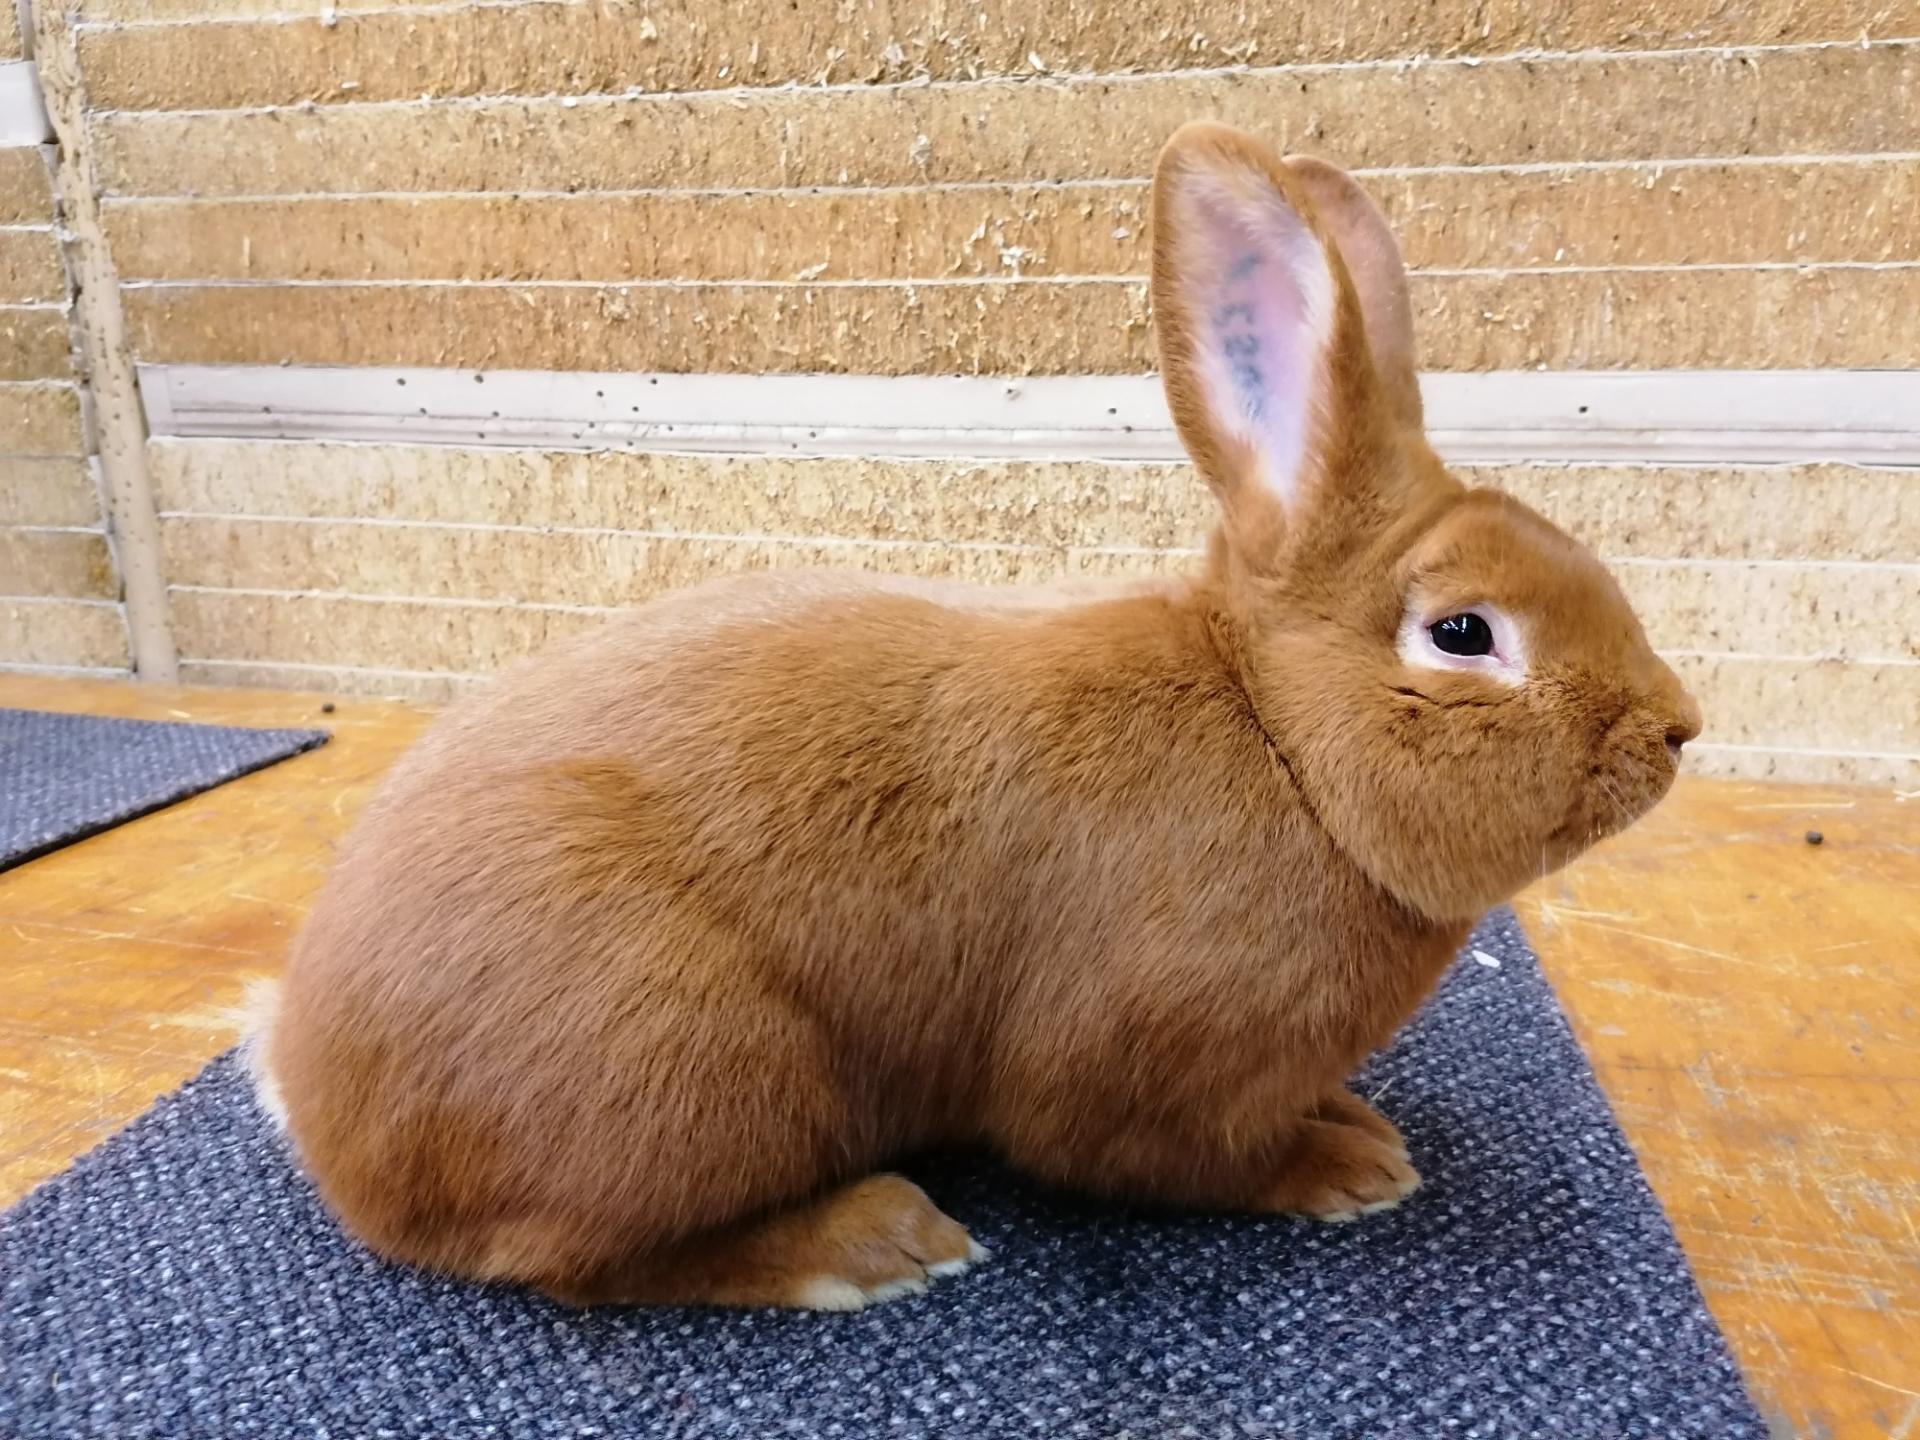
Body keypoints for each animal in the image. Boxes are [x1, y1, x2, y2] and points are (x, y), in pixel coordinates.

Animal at [251, 126, 1697, 1320]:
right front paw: (1347, 1167)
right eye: (1464, 635)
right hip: (684, 1068)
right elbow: (1159, 1152)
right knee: (584, 1260)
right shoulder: (1139, 1072)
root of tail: (318, 1102)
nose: (1678, 728)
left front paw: (1360, 1128)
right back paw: (873, 1243)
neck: (1280, 742)